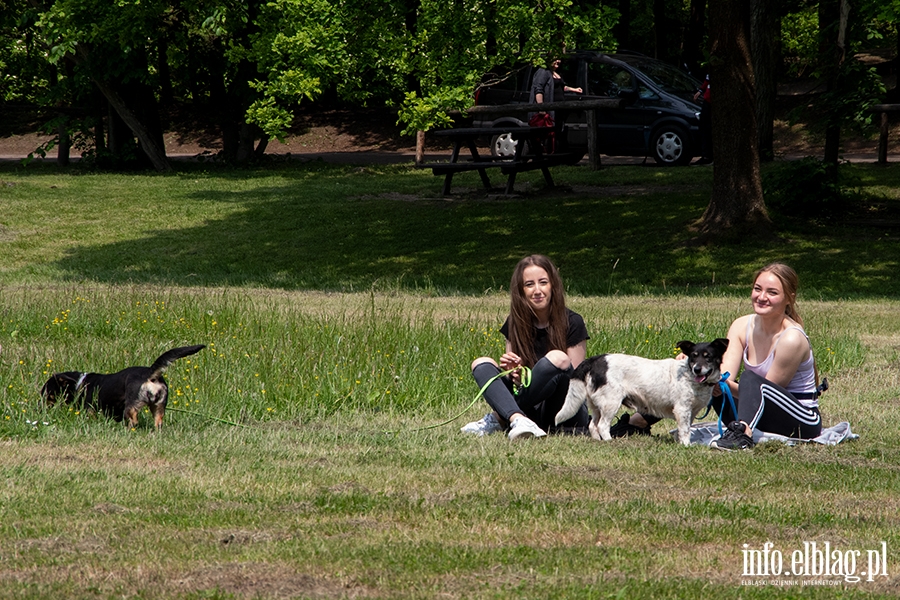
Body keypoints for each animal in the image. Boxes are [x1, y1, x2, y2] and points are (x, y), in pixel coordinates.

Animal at [41, 344, 205, 428]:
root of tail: (151, 373)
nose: (39, 406)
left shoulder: (90, 409)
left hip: (132, 404)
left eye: (46, 392)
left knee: (133, 418)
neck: (79, 383)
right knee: (158, 422)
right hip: (159, 406)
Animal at [556, 338, 732, 446]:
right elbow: (685, 431)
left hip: (596, 404)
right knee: (602, 425)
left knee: (593, 425)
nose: (697, 369)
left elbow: (684, 430)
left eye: (708, 356)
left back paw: (598, 441)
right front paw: (686, 446)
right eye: (693, 356)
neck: (689, 375)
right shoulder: (682, 409)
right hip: (611, 403)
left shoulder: (691, 412)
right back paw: (609, 441)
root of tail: (595, 360)